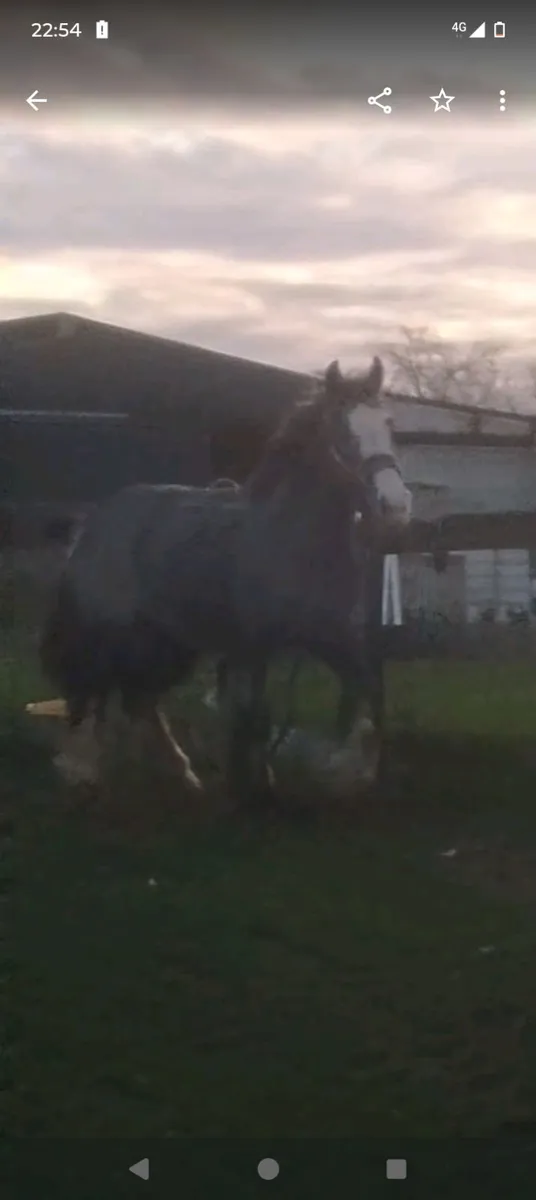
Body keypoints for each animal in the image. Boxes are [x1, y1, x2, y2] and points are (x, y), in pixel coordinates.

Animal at [40, 356, 411, 802]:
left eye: (389, 423)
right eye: (343, 429)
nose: (396, 508)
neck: (293, 541)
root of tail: (95, 521)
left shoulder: (330, 636)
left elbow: (368, 692)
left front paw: (352, 769)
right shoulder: (254, 644)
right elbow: (255, 715)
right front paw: (256, 787)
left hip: (166, 641)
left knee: (138, 698)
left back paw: (184, 776)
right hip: (110, 631)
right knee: (88, 689)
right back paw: (81, 772)